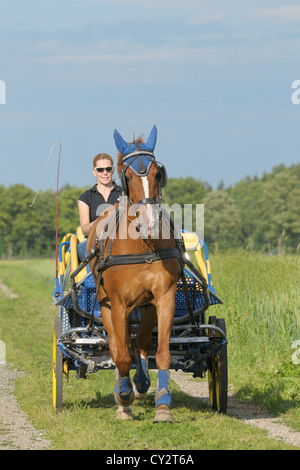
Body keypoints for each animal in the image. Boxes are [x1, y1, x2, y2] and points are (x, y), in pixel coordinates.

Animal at [85, 125, 182, 422]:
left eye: (157, 174)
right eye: (127, 177)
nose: (150, 223)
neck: (143, 244)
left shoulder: (164, 298)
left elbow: (161, 354)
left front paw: (163, 406)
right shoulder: (119, 304)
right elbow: (121, 356)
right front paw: (124, 397)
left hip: (146, 307)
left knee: (139, 342)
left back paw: (140, 383)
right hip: (106, 305)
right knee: (118, 348)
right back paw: (124, 394)